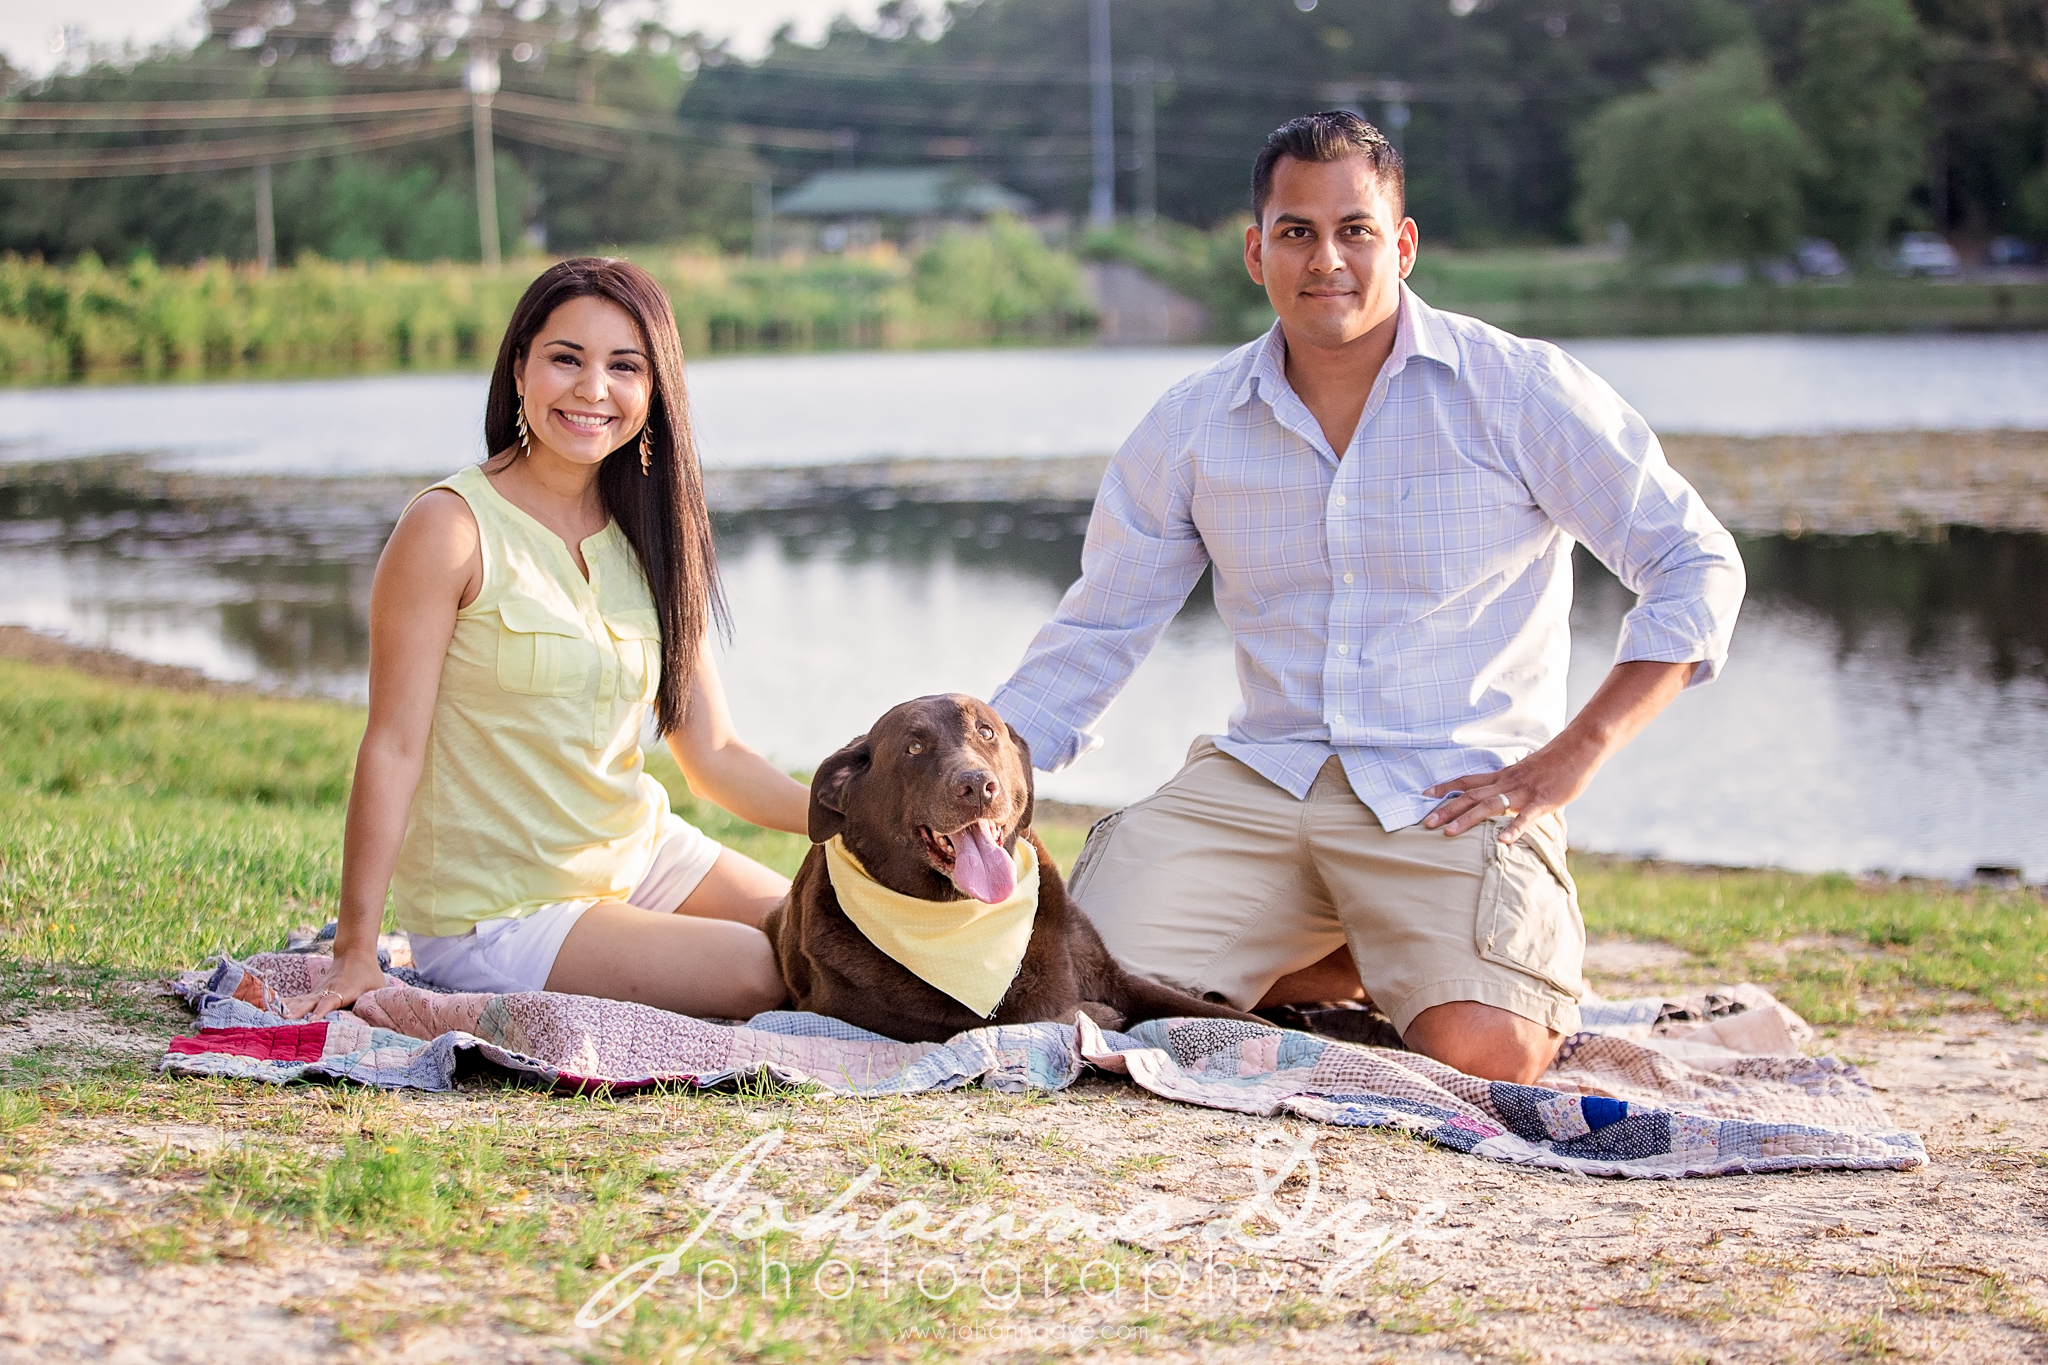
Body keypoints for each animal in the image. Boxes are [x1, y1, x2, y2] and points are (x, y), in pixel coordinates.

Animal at [761, 695, 1253, 1047]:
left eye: (986, 731)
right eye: (913, 747)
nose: (977, 784)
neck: (966, 914)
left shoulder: (1117, 977)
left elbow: (1235, 1017)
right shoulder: (885, 1019)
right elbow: (1025, 1018)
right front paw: (1095, 1016)